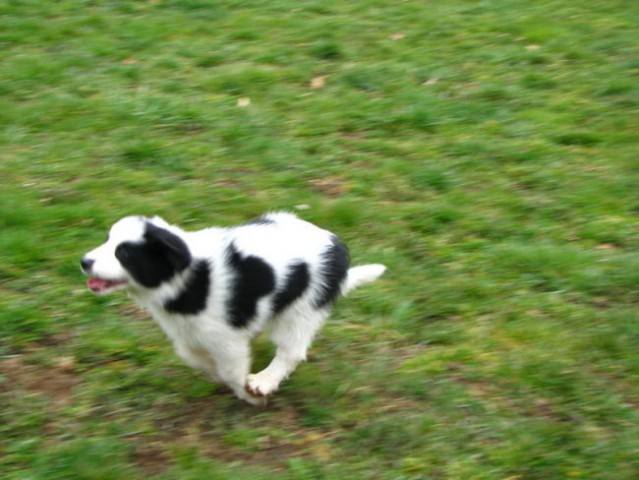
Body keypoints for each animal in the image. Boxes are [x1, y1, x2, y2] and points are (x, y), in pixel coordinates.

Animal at [80, 212, 384, 404]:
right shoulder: (191, 332)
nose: (84, 261)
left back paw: (265, 380)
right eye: (107, 240)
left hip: (302, 307)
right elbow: (192, 355)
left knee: (291, 350)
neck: (188, 279)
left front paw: (249, 394)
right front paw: (214, 372)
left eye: (123, 253)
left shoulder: (226, 337)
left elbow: (231, 369)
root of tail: (337, 250)